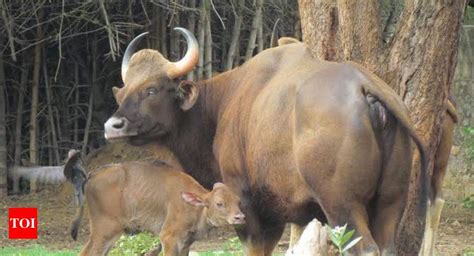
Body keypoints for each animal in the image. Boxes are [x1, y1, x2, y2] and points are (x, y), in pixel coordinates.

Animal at [65, 157, 244, 255]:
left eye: (238, 201)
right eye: (219, 203)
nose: (240, 217)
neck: (196, 207)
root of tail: (92, 175)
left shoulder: (186, 243)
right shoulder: (168, 238)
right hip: (105, 230)